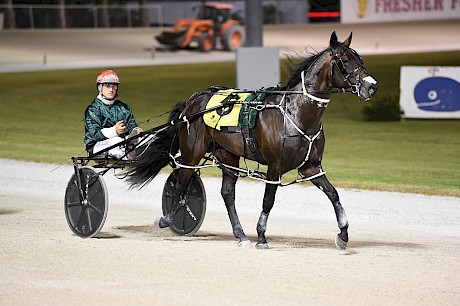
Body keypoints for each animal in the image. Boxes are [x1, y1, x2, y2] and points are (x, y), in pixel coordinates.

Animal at [126, 32, 378, 250]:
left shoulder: (311, 167)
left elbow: (333, 194)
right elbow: (268, 201)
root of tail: (192, 101)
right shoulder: (275, 167)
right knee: (180, 184)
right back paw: (167, 219)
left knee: (227, 194)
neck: (295, 113)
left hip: (227, 155)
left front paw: (343, 234)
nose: (372, 86)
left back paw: (240, 234)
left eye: (361, 59)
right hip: (192, 152)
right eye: (344, 60)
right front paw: (262, 237)